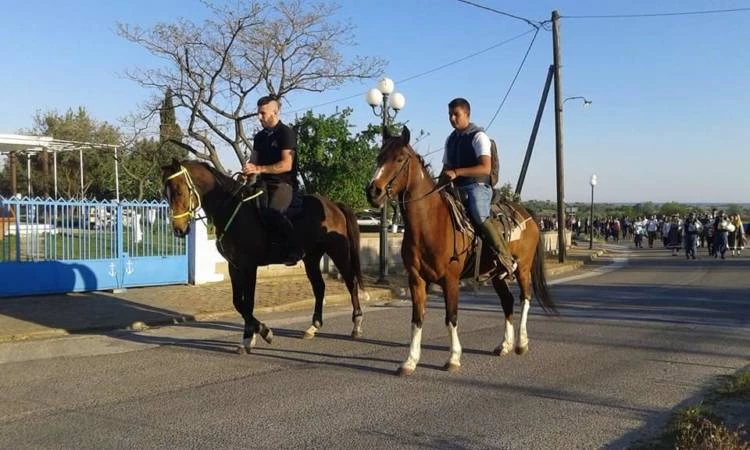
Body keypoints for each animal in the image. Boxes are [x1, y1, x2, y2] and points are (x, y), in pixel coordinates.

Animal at [368, 126, 556, 376]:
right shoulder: (416, 279)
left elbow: (451, 317)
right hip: (496, 274)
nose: (373, 191)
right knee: (507, 301)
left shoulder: (450, 279)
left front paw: (453, 358)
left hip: (523, 268)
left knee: (525, 298)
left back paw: (521, 343)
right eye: (379, 157)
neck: (430, 223)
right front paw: (410, 361)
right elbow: (417, 318)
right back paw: (504, 345)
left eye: (399, 159)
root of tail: (527, 213)